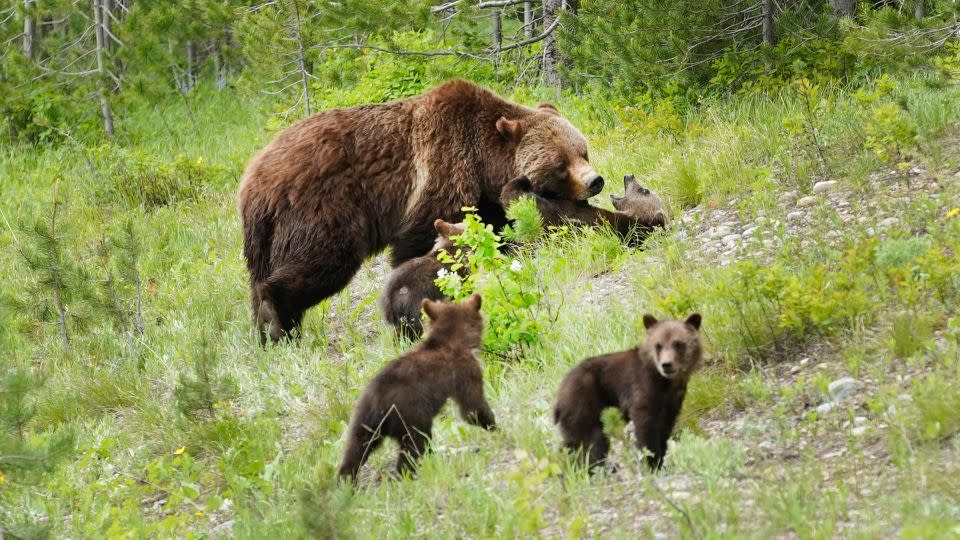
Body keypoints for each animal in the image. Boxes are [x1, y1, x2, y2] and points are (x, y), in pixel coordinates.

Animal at [240, 79, 604, 342]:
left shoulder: (487, 196)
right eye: (561, 164)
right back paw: (278, 323)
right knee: (320, 260)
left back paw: (266, 329)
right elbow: (423, 236)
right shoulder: (442, 170)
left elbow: (495, 228)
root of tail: (252, 182)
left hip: (265, 238)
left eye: (583, 150)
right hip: (321, 208)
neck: (486, 161)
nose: (595, 181)